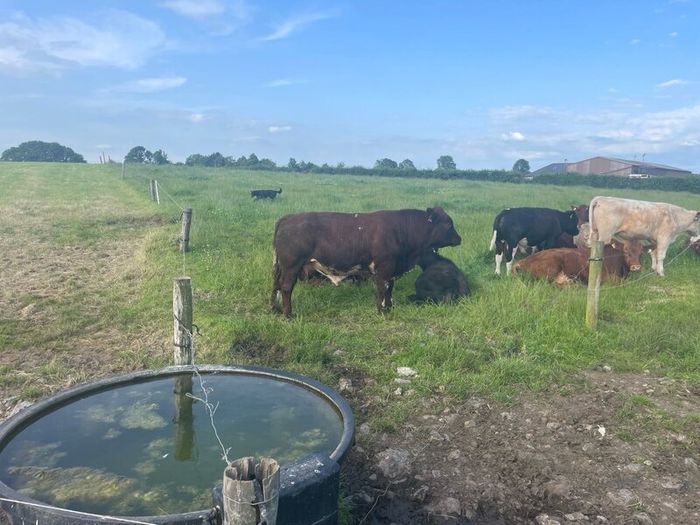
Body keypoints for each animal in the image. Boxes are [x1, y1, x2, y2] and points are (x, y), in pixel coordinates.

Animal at [271, 207, 462, 317]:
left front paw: (389, 308)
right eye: (448, 224)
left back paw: (275, 309)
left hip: (281, 267)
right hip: (291, 266)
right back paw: (288, 314)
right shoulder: (383, 268)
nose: (459, 239)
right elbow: (383, 289)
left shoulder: (391, 270)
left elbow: (390, 289)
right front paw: (382, 311)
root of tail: (287, 218)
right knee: (286, 287)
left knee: (276, 285)